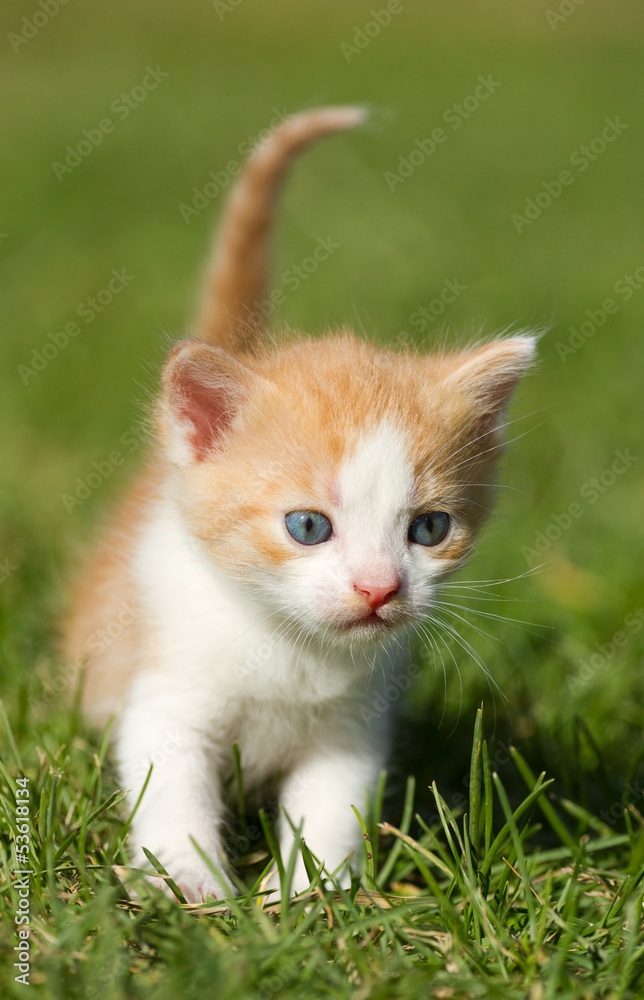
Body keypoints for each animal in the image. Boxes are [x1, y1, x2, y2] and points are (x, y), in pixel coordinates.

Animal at [65, 105, 536, 904]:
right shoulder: (164, 695)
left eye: (430, 527)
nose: (378, 589)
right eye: (308, 526)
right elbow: (169, 789)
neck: (288, 646)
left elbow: (331, 807)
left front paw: (306, 897)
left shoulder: (352, 729)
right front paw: (192, 885)